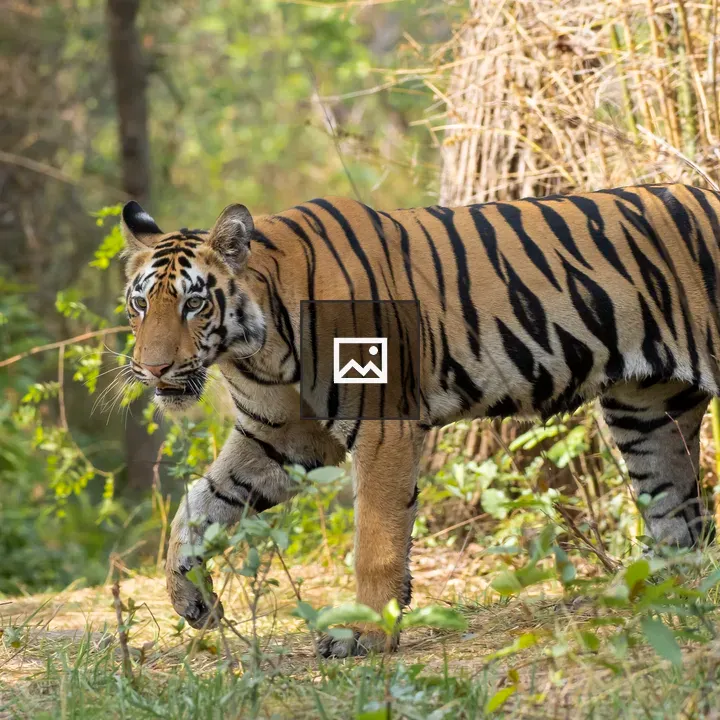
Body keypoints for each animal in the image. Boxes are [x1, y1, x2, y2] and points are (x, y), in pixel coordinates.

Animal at [121, 183, 720, 657]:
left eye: (194, 304)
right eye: (139, 305)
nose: (152, 368)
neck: (257, 350)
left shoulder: (381, 425)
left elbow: (375, 540)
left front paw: (363, 636)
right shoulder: (281, 439)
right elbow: (199, 506)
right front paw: (192, 600)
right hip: (645, 413)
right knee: (678, 519)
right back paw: (666, 603)